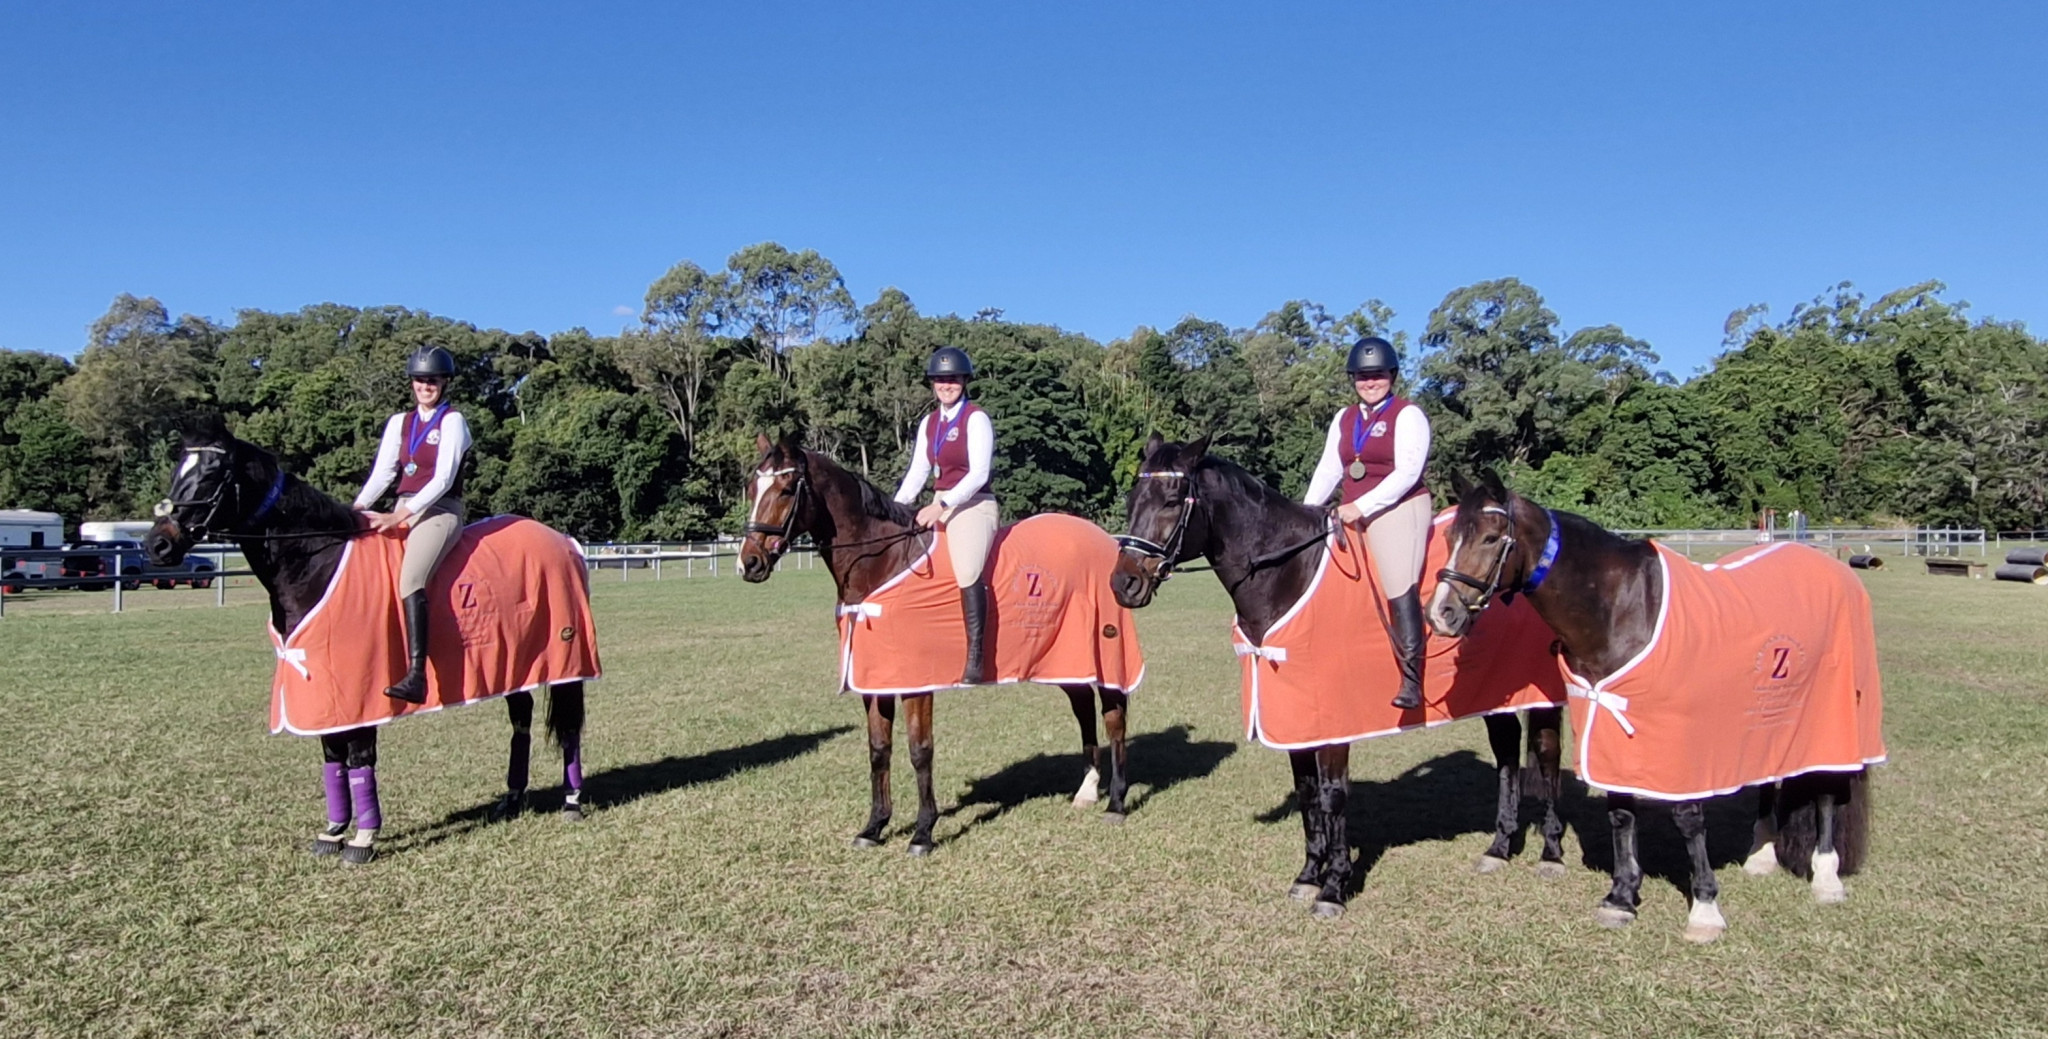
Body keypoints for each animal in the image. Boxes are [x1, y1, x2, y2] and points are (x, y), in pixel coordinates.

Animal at [142, 418, 593, 864]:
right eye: (177, 470)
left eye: (213, 474)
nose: (158, 544)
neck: (318, 560)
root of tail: (563, 541)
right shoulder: (325, 695)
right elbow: (333, 758)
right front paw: (333, 831)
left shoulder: (360, 693)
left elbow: (359, 759)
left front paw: (363, 839)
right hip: (517, 664)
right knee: (521, 720)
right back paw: (513, 797)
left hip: (567, 659)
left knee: (569, 727)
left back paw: (572, 800)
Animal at [737, 430, 1146, 852]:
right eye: (752, 488)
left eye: (787, 489)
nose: (749, 563)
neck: (885, 563)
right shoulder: (876, 679)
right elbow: (878, 750)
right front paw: (874, 826)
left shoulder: (917, 684)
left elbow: (920, 751)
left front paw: (923, 832)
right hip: (1068, 661)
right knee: (1084, 711)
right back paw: (1087, 790)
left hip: (1105, 654)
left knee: (1114, 717)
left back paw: (1116, 802)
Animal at [1105, 436, 1564, 918]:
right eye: (1133, 500)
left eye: (1173, 501)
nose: (1124, 584)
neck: (1290, 574)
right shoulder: (1298, 721)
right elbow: (1308, 793)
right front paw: (1309, 875)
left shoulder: (1333, 725)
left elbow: (1333, 795)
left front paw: (1334, 887)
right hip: (1496, 698)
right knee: (1507, 754)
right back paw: (1499, 847)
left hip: (1541, 699)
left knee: (1547, 757)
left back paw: (1551, 853)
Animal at [1425, 471, 1875, 942]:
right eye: (1451, 537)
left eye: (1492, 537)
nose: (1442, 612)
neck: (1622, 607)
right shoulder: (1613, 728)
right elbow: (1622, 813)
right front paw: (1621, 896)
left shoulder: (1678, 740)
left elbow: (1688, 817)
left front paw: (1705, 908)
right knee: (1772, 776)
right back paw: (1762, 855)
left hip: (1830, 713)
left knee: (1825, 789)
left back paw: (1826, 877)